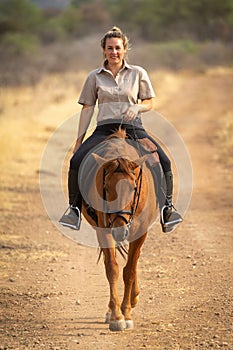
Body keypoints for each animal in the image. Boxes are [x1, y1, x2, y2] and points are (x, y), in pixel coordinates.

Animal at [81, 129, 157, 330]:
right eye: (106, 188)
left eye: (134, 188)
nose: (119, 229)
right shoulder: (104, 230)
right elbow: (112, 268)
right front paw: (116, 316)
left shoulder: (140, 231)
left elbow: (129, 270)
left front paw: (127, 313)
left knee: (134, 261)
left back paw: (133, 298)